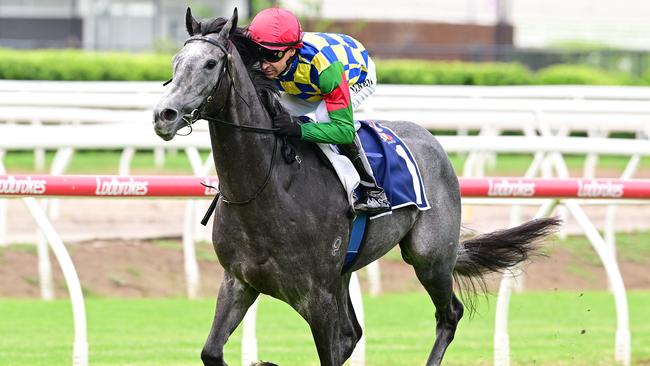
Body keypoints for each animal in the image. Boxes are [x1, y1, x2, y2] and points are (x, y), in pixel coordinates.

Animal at [152, 8, 556, 366]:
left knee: (449, 314)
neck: (265, 189)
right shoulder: (239, 281)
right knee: (354, 334)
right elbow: (211, 352)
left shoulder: (316, 295)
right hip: (347, 272)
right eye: (176, 61)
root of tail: (430, 138)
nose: (164, 115)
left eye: (210, 64)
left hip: (430, 257)